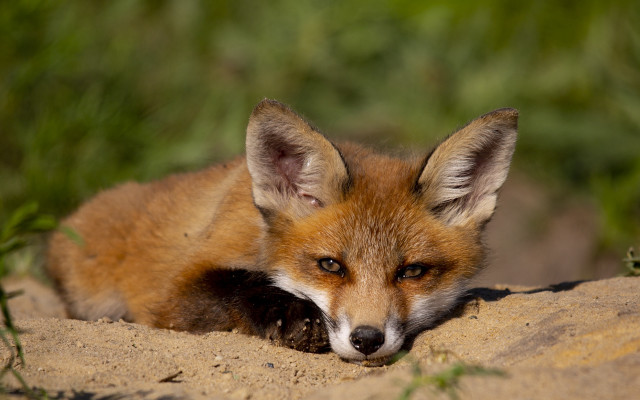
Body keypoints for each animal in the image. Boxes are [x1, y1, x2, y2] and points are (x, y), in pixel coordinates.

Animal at [47, 99, 517, 366]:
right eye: (330, 265)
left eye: (412, 272)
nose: (367, 340)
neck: (259, 233)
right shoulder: (171, 296)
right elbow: (239, 282)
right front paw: (292, 313)